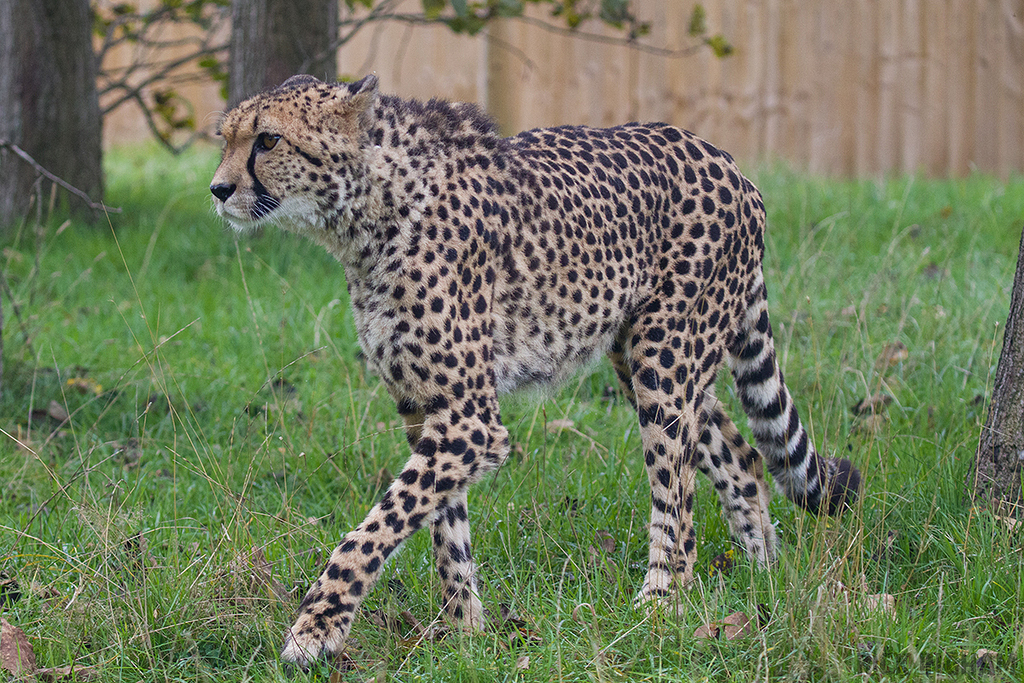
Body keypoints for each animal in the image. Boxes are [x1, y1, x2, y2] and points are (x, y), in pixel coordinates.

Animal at [210, 74, 861, 667]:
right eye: (227, 138)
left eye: (267, 140)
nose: (218, 189)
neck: (367, 214)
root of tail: (728, 162)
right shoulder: (430, 412)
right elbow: (442, 528)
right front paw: (465, 634)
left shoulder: (471, 421)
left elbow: (375, 528)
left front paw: (316, 629)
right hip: (643, 360)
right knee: (742, 456)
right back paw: (760, 579)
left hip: (665, 362)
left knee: (677, 498)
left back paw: (661, 603)